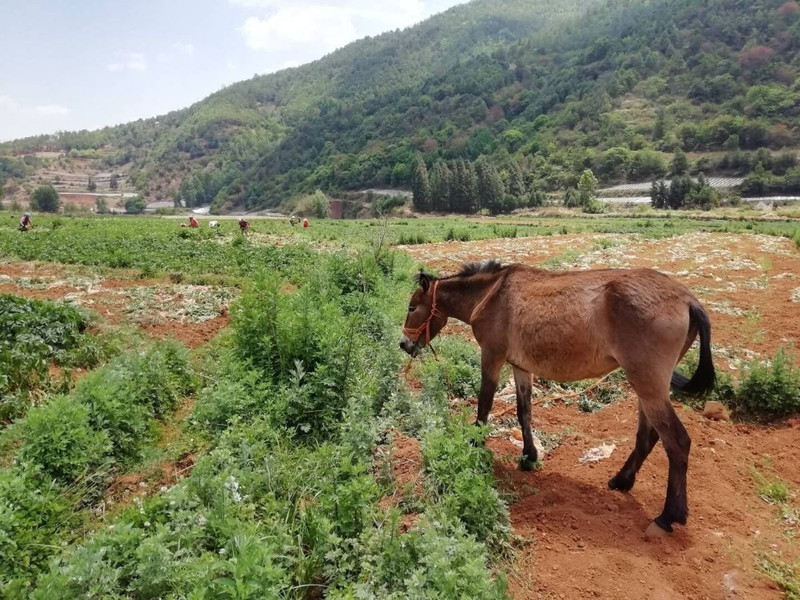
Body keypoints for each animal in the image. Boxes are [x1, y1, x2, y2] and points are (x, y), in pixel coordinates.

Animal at [404, 260, 716, 536]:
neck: (492, 292)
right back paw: (622, 481)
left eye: (411, 307)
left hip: (648, 384)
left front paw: (475, 445)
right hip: (647, 387)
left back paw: (668, 516)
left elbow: (484, 405)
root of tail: (688, 299)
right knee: (648, 436)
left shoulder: (491, 357)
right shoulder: (520, 366)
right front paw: (529, 456)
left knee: (677, 442)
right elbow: (524, 411)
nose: (404, 344)